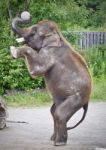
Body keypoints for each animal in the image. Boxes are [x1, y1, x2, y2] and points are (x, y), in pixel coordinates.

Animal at [10, 13, 92, 146]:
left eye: (33, 32)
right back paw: (53, 139)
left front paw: (13, 50)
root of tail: (87, 100)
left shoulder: (50, 53)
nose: (26, 16)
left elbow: (37, 69)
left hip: (77, 97)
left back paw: (58, 143)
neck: (58, 35)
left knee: (59, 114)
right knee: (54, 112)